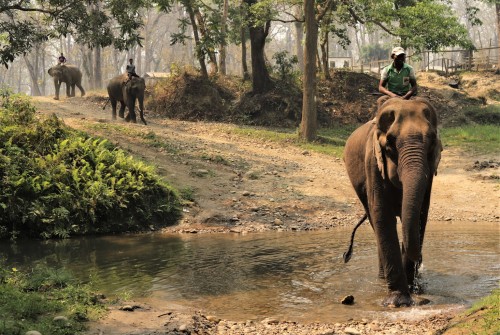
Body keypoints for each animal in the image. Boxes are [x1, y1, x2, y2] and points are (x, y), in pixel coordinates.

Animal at [344, 96, 442, 308]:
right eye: (390, 142)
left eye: (432, 140)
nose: (420, 260)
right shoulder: (373, 163)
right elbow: (382, 215)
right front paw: (397, 302)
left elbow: (420, 215)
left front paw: (413, 292)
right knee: (374, 220)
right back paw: (382, 278)